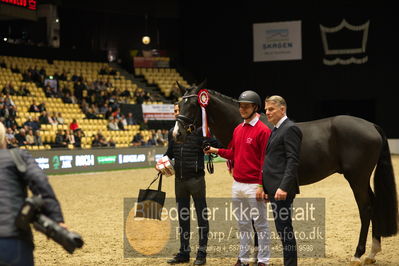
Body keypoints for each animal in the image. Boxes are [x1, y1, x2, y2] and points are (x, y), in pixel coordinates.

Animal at [176, 84, 399, 264]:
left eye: (194, 105)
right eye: (178, 104)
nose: (177, 133)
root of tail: (371, 125)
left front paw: (257, 256)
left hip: (357, 178)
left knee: (366, 208)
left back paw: (358, 255)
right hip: (362, 179)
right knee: (374, 204)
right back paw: (372, 253)